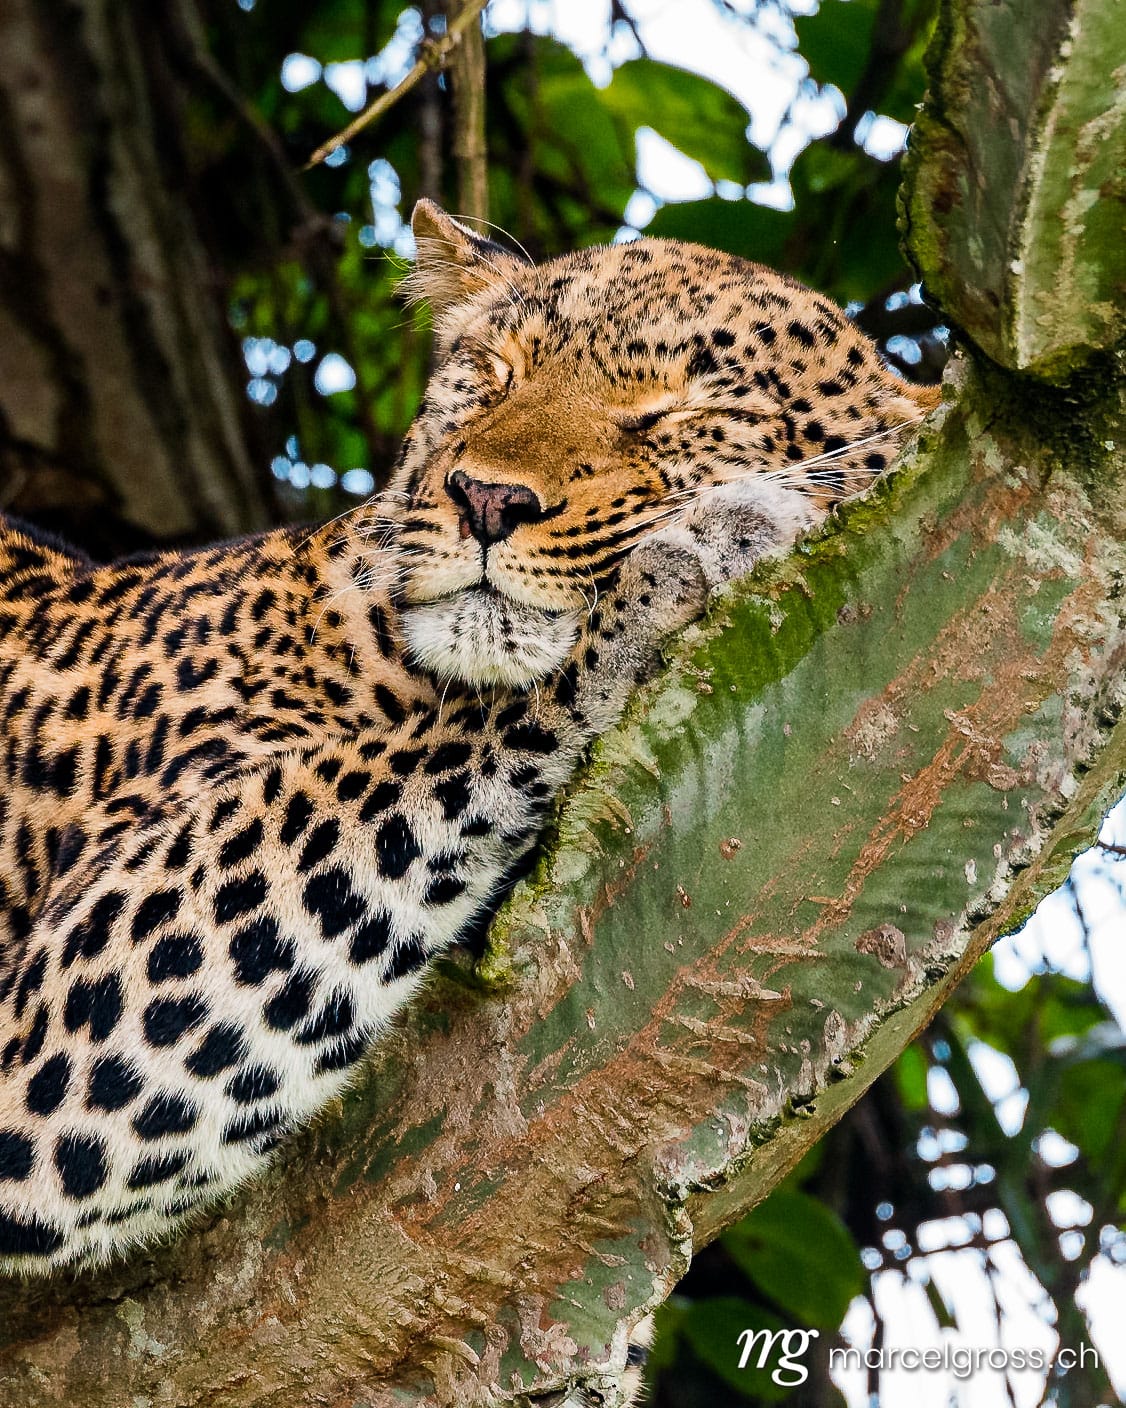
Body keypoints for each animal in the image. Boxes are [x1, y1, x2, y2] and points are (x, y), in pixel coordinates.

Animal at [0, 199, 937, 1283]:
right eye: (495, 372)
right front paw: (709, 545)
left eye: (682, 413)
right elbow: (428, 746)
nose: (485, 498)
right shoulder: (59, 995)